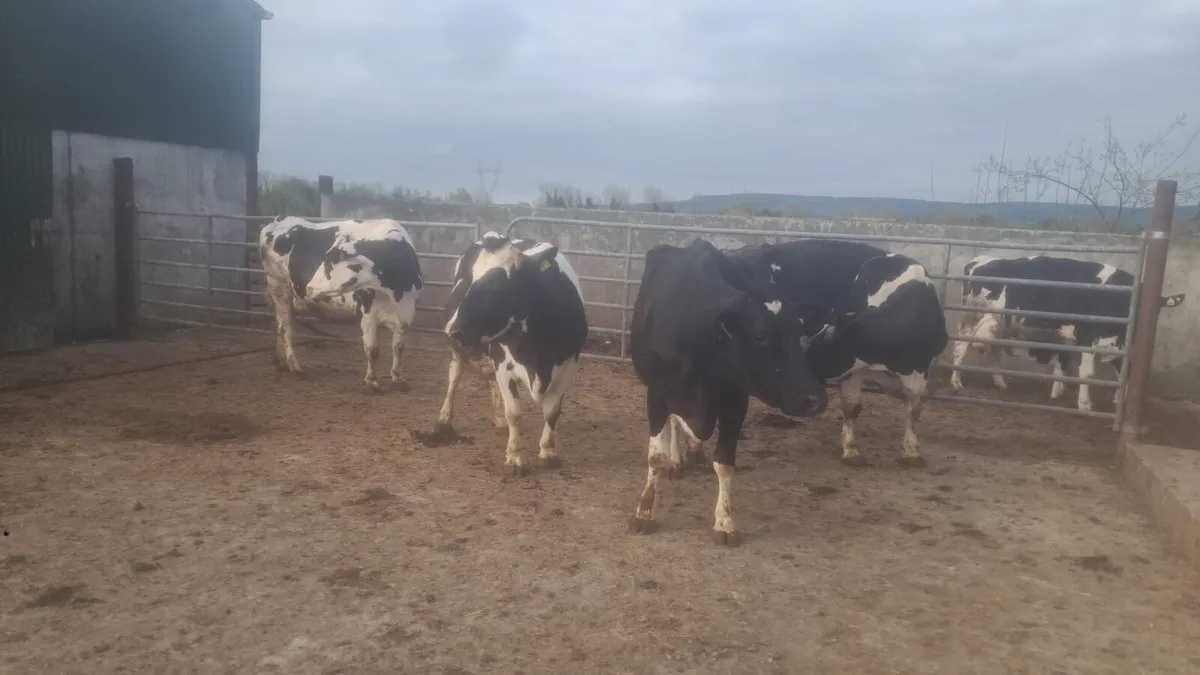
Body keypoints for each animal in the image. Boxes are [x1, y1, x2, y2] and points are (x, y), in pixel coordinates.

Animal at [257, 216, 423, 390]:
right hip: (279, 288)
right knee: (286, 330)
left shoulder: (405, 314)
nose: (309, 287)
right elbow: (372, 350)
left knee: (280, 326)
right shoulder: (367, 314)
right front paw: (371, 381)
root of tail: (278, 220)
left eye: (329, 263)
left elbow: (399, 348)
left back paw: (281, 361)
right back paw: (294, 366)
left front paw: (398, 378)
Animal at [433, 231, 588, 477]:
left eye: (496, 284)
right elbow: (514, 412)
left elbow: (552, 411)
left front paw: (547, 452)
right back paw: (444, 419)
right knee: (454, 377)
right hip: (463, 353)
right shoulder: (504, 365)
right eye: (469, 279)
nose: (454, 330)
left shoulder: (567, 367)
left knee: (490, 383)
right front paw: (515, 458)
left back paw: (498, 420)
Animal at [627, 238, 830, 547]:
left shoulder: (735, 401)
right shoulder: (657, 394)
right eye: (761, 335)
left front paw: (724, 522)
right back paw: (677, 459)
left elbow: (724, 462)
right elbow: (656, 456)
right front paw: (645, 511)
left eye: (798, 333)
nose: (815, 399)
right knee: (675, 424)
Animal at [727, 239, 949, 468]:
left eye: (820, 343)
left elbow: (912, 409)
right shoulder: (853, 369)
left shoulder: (919, 369)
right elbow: (853, 407)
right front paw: (851, 450)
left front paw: (912, 451)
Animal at [950, 254, 1185, 412]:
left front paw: (1119, 401)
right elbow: (1086, 373)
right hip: (971, 317)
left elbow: (1122, 372)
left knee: (994, 352)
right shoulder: (1087, 336)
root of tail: (980, 259)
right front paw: (1084, 404)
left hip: (999, 323)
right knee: (960, 347)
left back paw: (1001, 383)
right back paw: (956, 382)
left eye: (1157, 306)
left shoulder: (1117, 344)